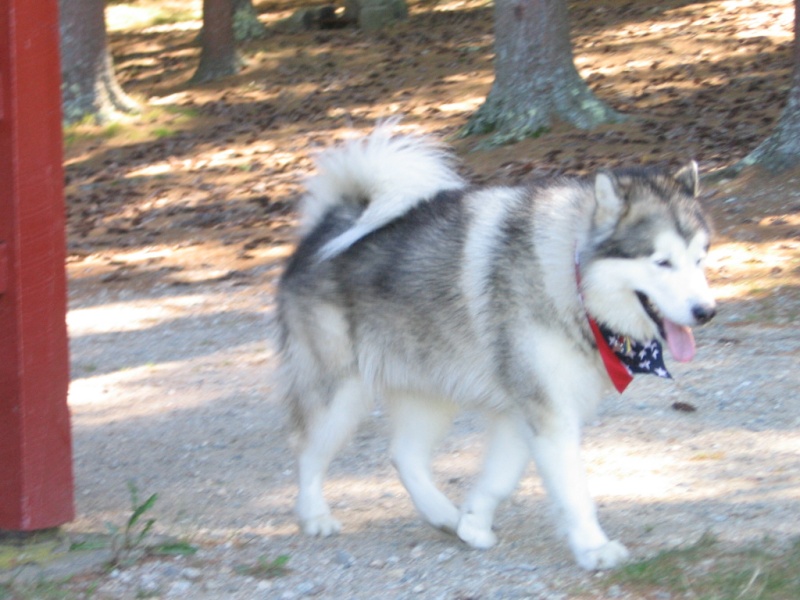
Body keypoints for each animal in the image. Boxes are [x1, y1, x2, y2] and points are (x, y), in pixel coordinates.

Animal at [276, 125, 720, 568]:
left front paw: (473, 522)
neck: (570, 272)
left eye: (700, 259)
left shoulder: (523, 412)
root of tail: (328, 224)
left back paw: (442, 514)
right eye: (662, 262)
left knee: (404, 455)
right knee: (306, 450)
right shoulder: (549, 412)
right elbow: (574, 489)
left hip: (429, 391)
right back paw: (315, 514)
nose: (706, 311)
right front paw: (594, 547)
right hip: (340, 393)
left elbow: (501, 478)